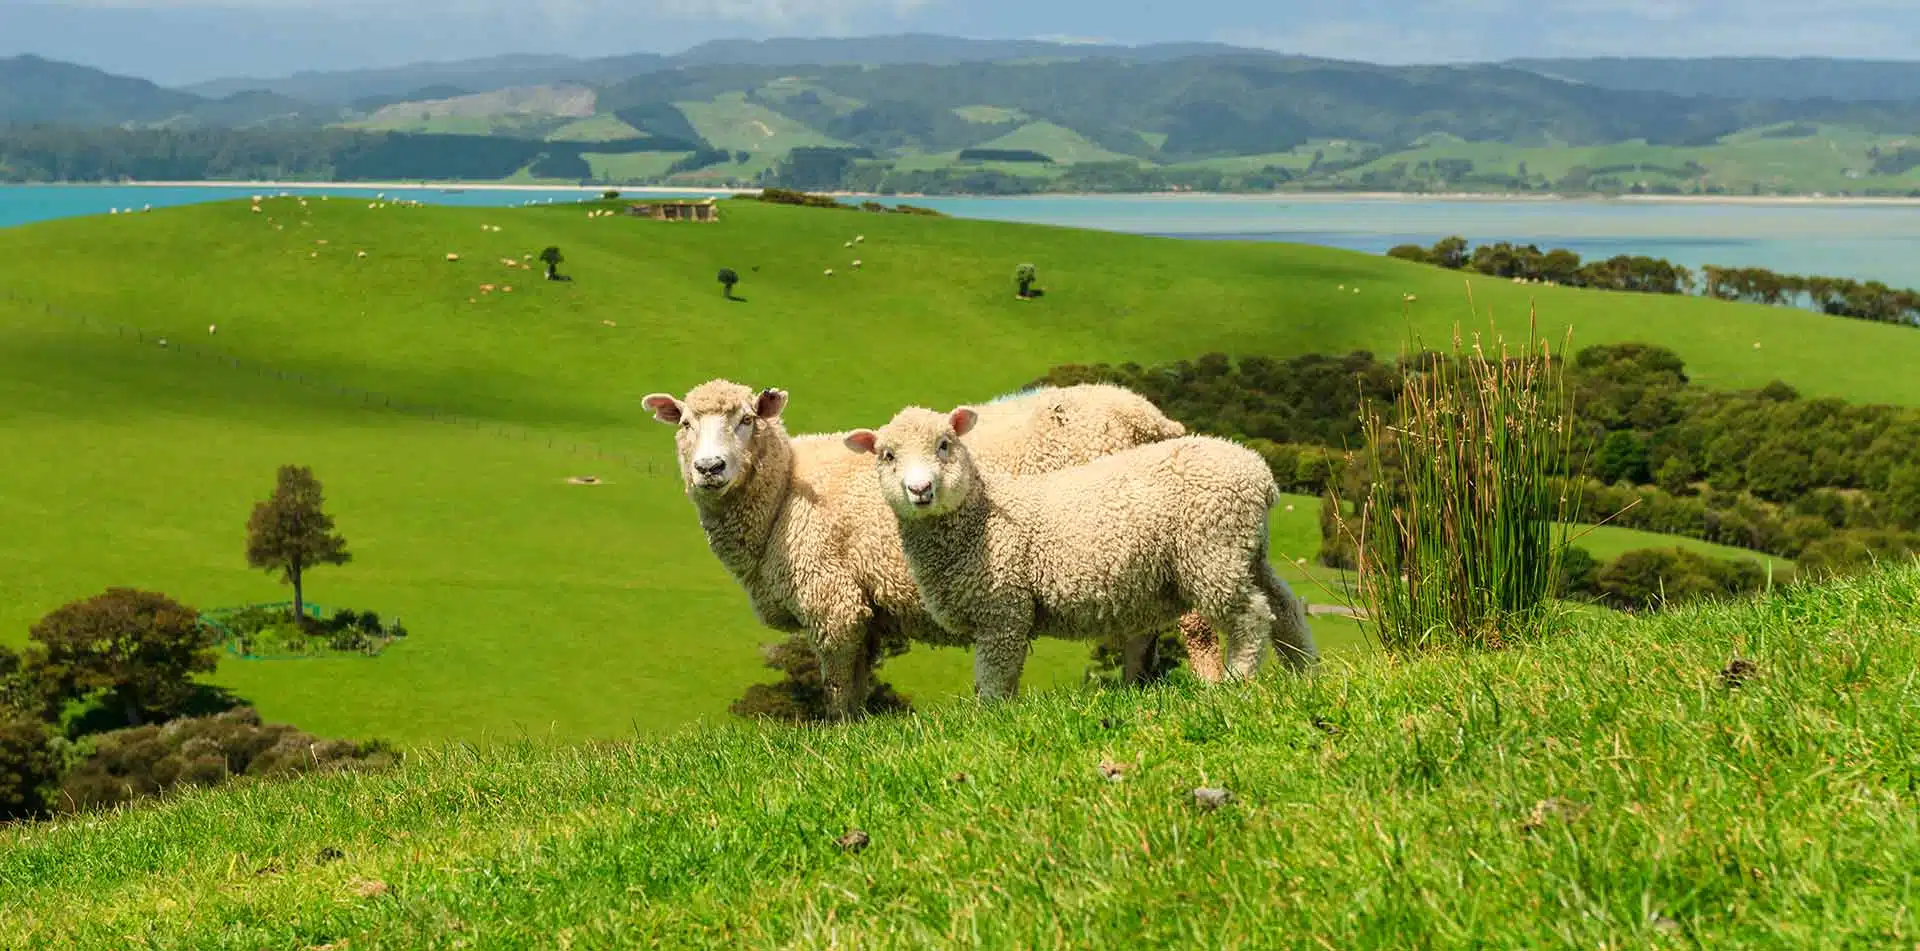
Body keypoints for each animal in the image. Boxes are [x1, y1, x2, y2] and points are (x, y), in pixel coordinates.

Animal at [637, 380, 1221, 722]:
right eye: (685, 423)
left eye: (747, 420)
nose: (709, 468)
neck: (785, 491)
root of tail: (1152, 419)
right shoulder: (864, 609)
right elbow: (856, 683)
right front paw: (860, 733)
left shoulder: (832, 599)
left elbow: (836, 687)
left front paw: (839, 740)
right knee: (1140, 630)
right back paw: (1134, 690)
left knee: (1198, 624)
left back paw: (1219, 686)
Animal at [848, 405, 1313, 703]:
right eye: (887, 456)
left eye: (944, 445)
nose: (920, 489)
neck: (981, 516)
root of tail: (1259, 474)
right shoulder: (1002, 615)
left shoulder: (1003, 610)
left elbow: (995, 678)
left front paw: (992, 719)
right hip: (1247, 551)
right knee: (1285, 608)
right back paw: (1305, 672)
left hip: (1212, 551)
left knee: (1251, 617)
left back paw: (1238, 681)